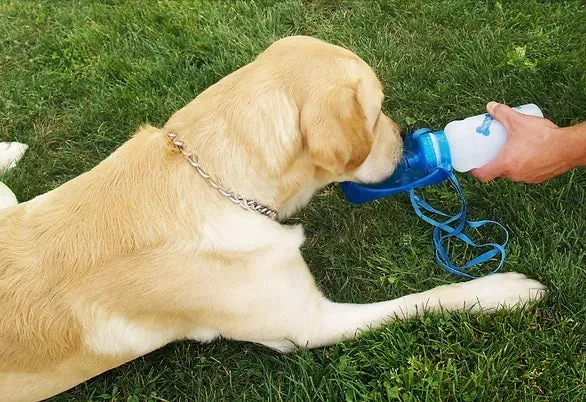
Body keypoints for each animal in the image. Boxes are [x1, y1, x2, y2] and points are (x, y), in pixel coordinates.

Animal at [0, 36, 544, 400]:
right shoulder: (308, 325)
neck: (214, 179)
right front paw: (501, 291)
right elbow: (422, 300)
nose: (405, 135)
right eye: (376, 115)